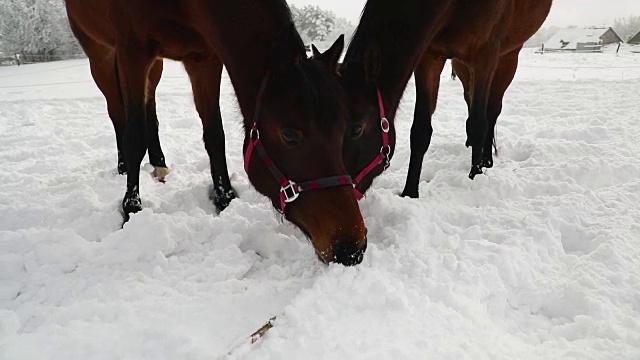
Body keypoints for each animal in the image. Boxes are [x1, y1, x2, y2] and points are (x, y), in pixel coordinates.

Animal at [65, 0, 368, 264]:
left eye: (346, 129)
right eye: (289, 135)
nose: (351, 247)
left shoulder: (204, 59)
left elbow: (214, 133)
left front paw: (225, 197)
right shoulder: (133, 51)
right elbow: (134, 135)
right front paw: (131, 208)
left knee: (150, 109)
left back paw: (159, 164)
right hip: (101, 55)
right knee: (118, 114)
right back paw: (124, 166)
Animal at [342, 0, 552, 197]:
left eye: (356, 129)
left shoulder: (486, 56)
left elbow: (478, 124)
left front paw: (475, 176)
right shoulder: (430, 57)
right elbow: (420, 130)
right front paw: (410, 192)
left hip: (507, 59)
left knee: (491, 111)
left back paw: (486, 159)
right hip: (462, 65)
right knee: (470, 100)